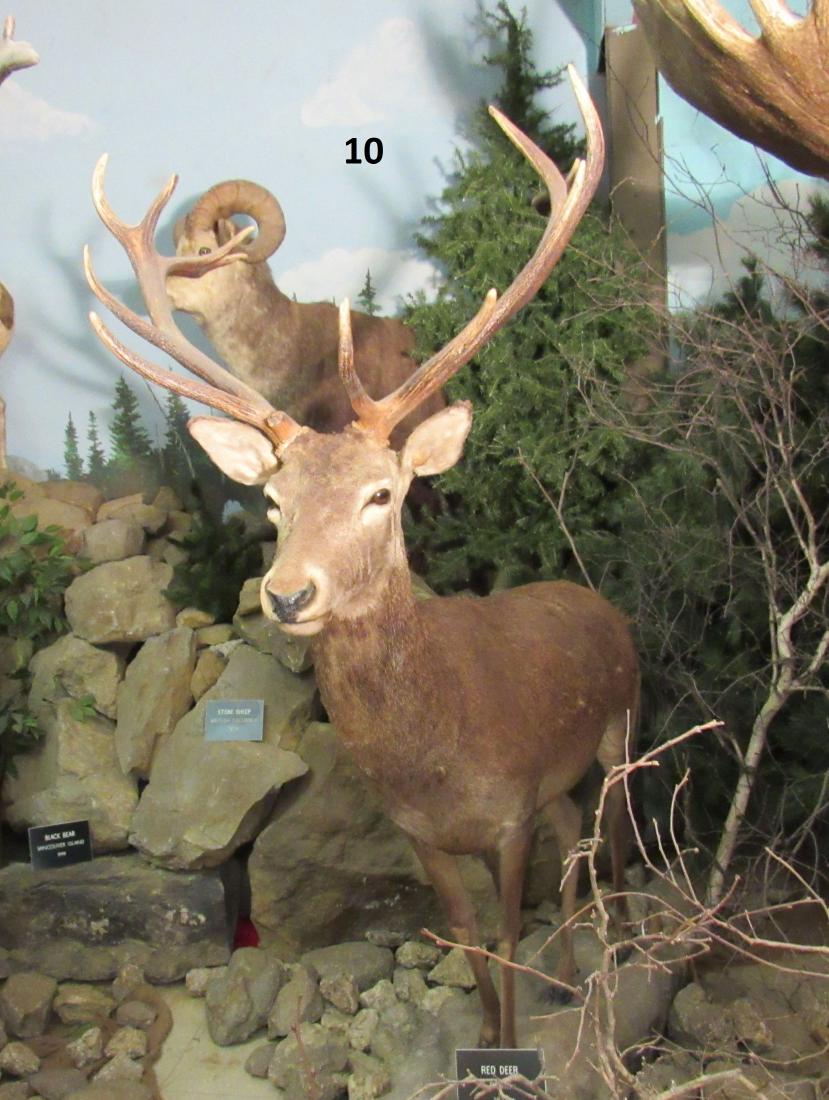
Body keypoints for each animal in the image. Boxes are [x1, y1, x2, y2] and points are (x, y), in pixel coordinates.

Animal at [84, 66, 639, 1050]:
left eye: (382, 494)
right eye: (275, 500)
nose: (287, 593)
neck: (443, 753)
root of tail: (598, 603)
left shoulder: (509, 815)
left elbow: (507, 932)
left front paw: (509, 1050)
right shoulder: (421, 832)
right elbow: (464, 936)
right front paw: (483, 1037)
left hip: (623, 727)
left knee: (609, 845)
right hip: (563, 785)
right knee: (575, 834)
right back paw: (573, 973)